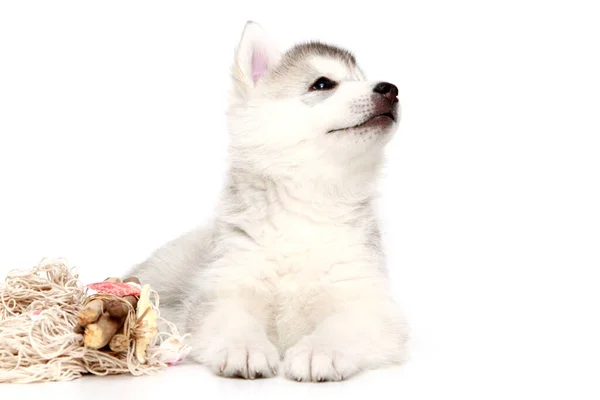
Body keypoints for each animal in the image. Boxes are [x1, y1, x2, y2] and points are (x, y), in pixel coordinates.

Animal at [126, 21, 408, 382]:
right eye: (322, 83)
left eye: (362, 78)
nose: (390, 88)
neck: (308, 202)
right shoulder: (222, 292)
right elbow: (232, 320)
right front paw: (244, 348)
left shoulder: (368, 301)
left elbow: (344, 325)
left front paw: (320, 351)